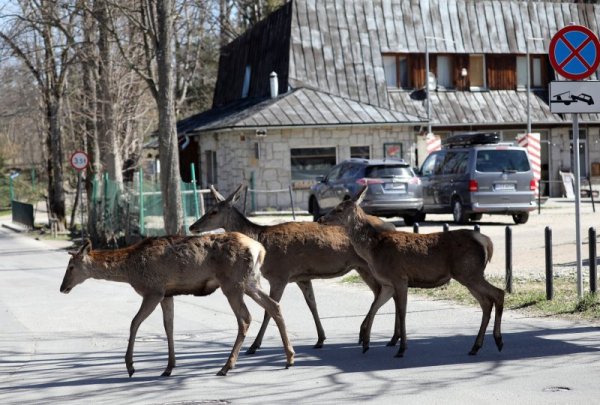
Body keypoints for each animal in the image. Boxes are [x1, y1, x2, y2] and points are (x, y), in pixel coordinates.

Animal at [59, 232, 294, 378]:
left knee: (245, 317)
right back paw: (289, 358)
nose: (62, 288)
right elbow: (168, 327)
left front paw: (130, 366)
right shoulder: (167, 294)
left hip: (232, 283)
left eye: (71, 267)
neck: (131, 271)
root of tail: (259, 249)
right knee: (274, 306)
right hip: (251, 281)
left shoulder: (154, 290)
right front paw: (169, 368)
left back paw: (226, 367)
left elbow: (134, 323)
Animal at [190, 184, 400, 354]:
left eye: (214, 211)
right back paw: (386, 336)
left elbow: (269, 310)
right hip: (362, 267)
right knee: (383, 293)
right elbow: (312, 304)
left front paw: (254, 346)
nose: (192, 226)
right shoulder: (301, 277)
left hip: (369, 266)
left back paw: (381, 336)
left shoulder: (279, 275)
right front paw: (320, 339)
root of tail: (392, 226)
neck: (261, 239)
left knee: (387, 292)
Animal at [318, 185, 506, 356]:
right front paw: (365, 341)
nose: (320, 219)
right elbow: (374, 306)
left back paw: (498, 340)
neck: (373, 250)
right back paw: (476, 347)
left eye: (339, 209)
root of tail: (486, 241)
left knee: (498, 293)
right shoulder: (387, 283)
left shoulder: (399, 277)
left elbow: (401, 312)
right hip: (468, 275)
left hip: (469, 272)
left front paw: (401, 348)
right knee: (486, 302)